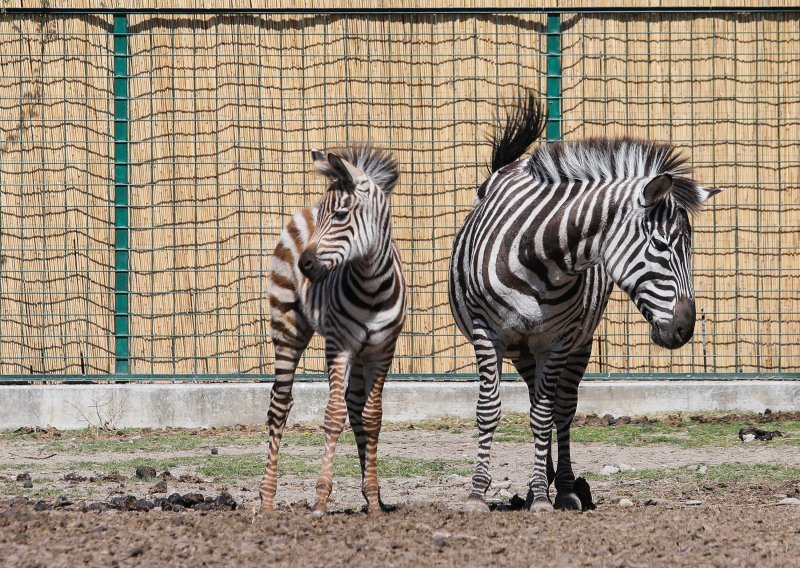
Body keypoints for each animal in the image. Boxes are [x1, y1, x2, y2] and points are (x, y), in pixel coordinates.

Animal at [260, 146, 406, 516]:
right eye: (330, 215)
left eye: (340, 215)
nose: (305, 265)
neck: (372, 288)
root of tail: (306, 208)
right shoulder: (339, 345)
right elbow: (333, 415)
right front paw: (321, 500)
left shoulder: (383, 350)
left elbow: (371, 418)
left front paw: (374, 500)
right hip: (287, 328)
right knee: (279, 406)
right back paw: (266, 500)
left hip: (363, 354)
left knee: (356, 409)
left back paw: (371, 495)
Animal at [450, 91, 720, 512]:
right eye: (661, 245)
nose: (685, 329)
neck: (538, 258)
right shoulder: (485, 333)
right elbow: (489, 410)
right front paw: (478, 492)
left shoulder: (557, 340)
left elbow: (545, 415)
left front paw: (542, 495)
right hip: (523, 350)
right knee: (536, 402)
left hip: (576, 344)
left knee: (560, 410)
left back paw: (559, 487)